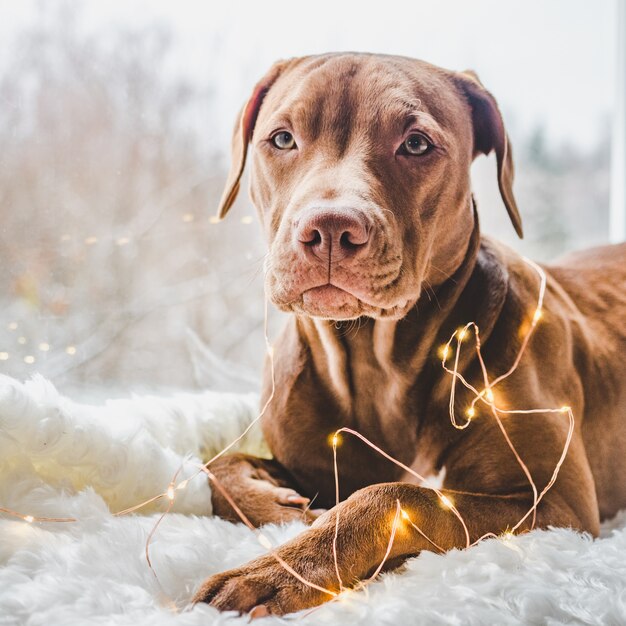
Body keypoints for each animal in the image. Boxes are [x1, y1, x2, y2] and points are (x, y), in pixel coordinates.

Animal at [193, 52, 624, 608]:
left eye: (416, 144)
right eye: (283, 138)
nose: (328, 228)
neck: (375, 362)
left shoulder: (555, 507)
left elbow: (392, 496)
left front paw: (277, 572)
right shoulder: (309, 464)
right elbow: (216, 468)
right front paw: (281, 507)